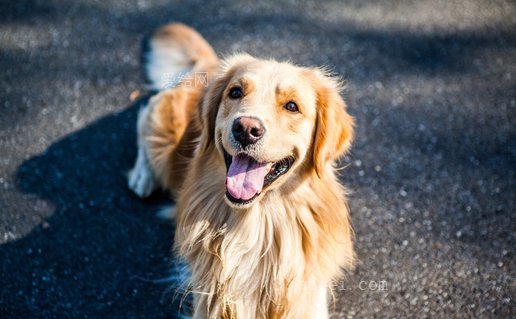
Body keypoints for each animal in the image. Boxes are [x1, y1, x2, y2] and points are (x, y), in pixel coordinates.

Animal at [128, 23, 354, 319]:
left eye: (292, 106)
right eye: (235, 92)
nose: (246, 129)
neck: (257, 222)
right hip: (163, 136)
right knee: (144, 117)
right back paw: (142, 176)